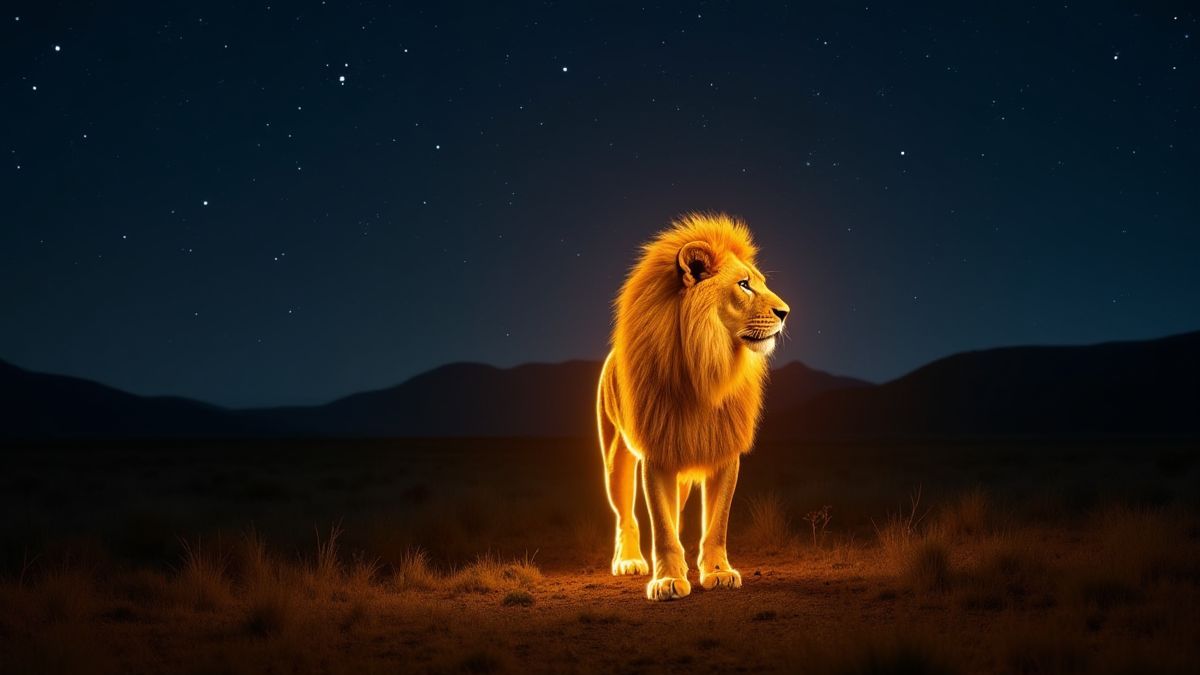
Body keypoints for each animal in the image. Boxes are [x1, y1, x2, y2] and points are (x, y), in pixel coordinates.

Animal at [596, 212, 790, 601]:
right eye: (744, 285)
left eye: (760, 282)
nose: (785, 312)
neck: (708, 366)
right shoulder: (657, 453)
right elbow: (662, 527)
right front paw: (668, 581)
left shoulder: (724, 449)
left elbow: (716, 524)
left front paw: (719, 573)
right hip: (614, 457)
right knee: (625, 515)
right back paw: (629, 561)